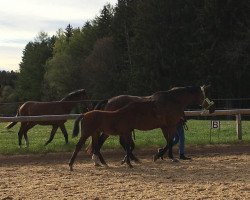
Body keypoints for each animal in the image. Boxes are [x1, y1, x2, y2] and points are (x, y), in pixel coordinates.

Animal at [68, 85, 215, 171]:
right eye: (203, 94)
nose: (212, 108)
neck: (171, 101)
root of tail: (109, 100)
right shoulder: (170, 125)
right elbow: (169, 142)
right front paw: (160, 155)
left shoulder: (164, 127)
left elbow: (170, 141)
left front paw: (164, 155)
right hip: (108, 130)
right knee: (101, 143)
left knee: (103, 143)